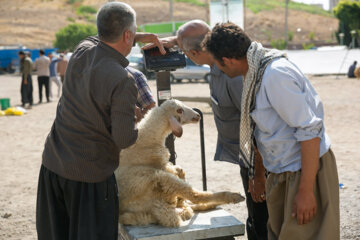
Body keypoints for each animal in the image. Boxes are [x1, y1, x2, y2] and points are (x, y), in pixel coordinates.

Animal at [115, 99, 245, 227]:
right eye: (179, 110)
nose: (198, 115)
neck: (147, 139)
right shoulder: (160, 166)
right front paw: (180, 173)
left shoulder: (165, 165)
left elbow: (177, 168)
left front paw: (181, 172)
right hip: (161, 179)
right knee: (195, 196)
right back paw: (235, 196)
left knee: (188, 205)